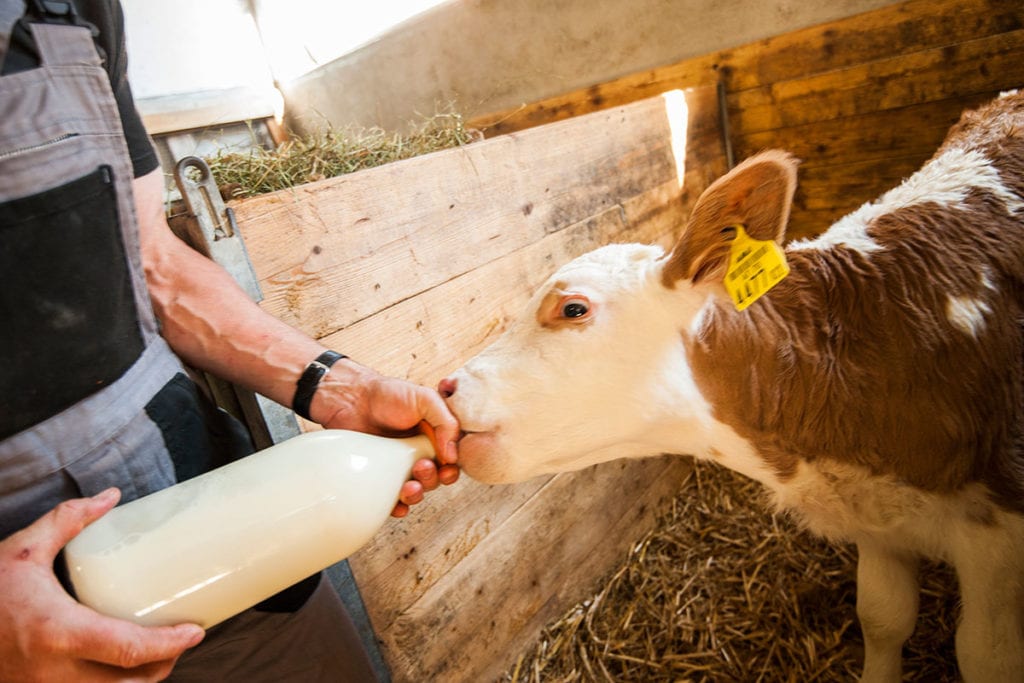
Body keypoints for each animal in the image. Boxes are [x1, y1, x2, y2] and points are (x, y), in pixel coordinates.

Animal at [442, 92, 1024, 683]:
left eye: (573, 309)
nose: (446, 387)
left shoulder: (997, 539)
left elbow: (986, 657)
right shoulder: (878, 523)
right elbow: (883, 618)